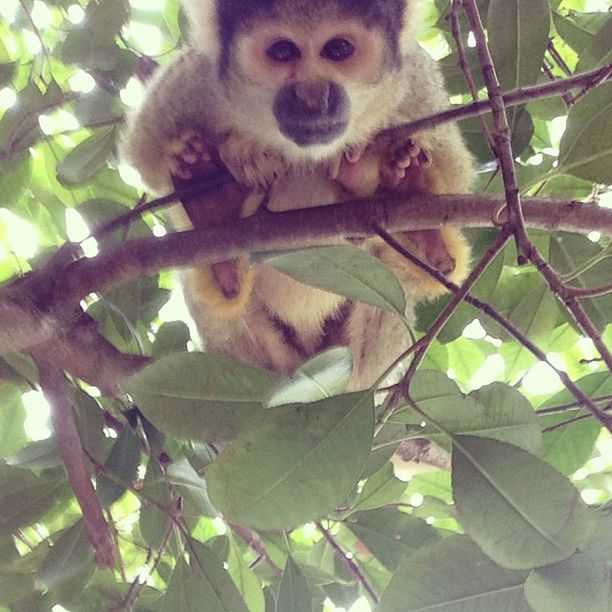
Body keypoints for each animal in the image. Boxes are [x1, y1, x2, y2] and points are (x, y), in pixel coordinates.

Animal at [119, 1, 474, 388]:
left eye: (338, 49)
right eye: (282, 51)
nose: (313, 98)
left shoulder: (414, 86)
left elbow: (456, 171)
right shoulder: (197, 81)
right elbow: (145, 155)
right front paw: (242, 151)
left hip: (361, 359)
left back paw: (423, 230)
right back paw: (217, 227)